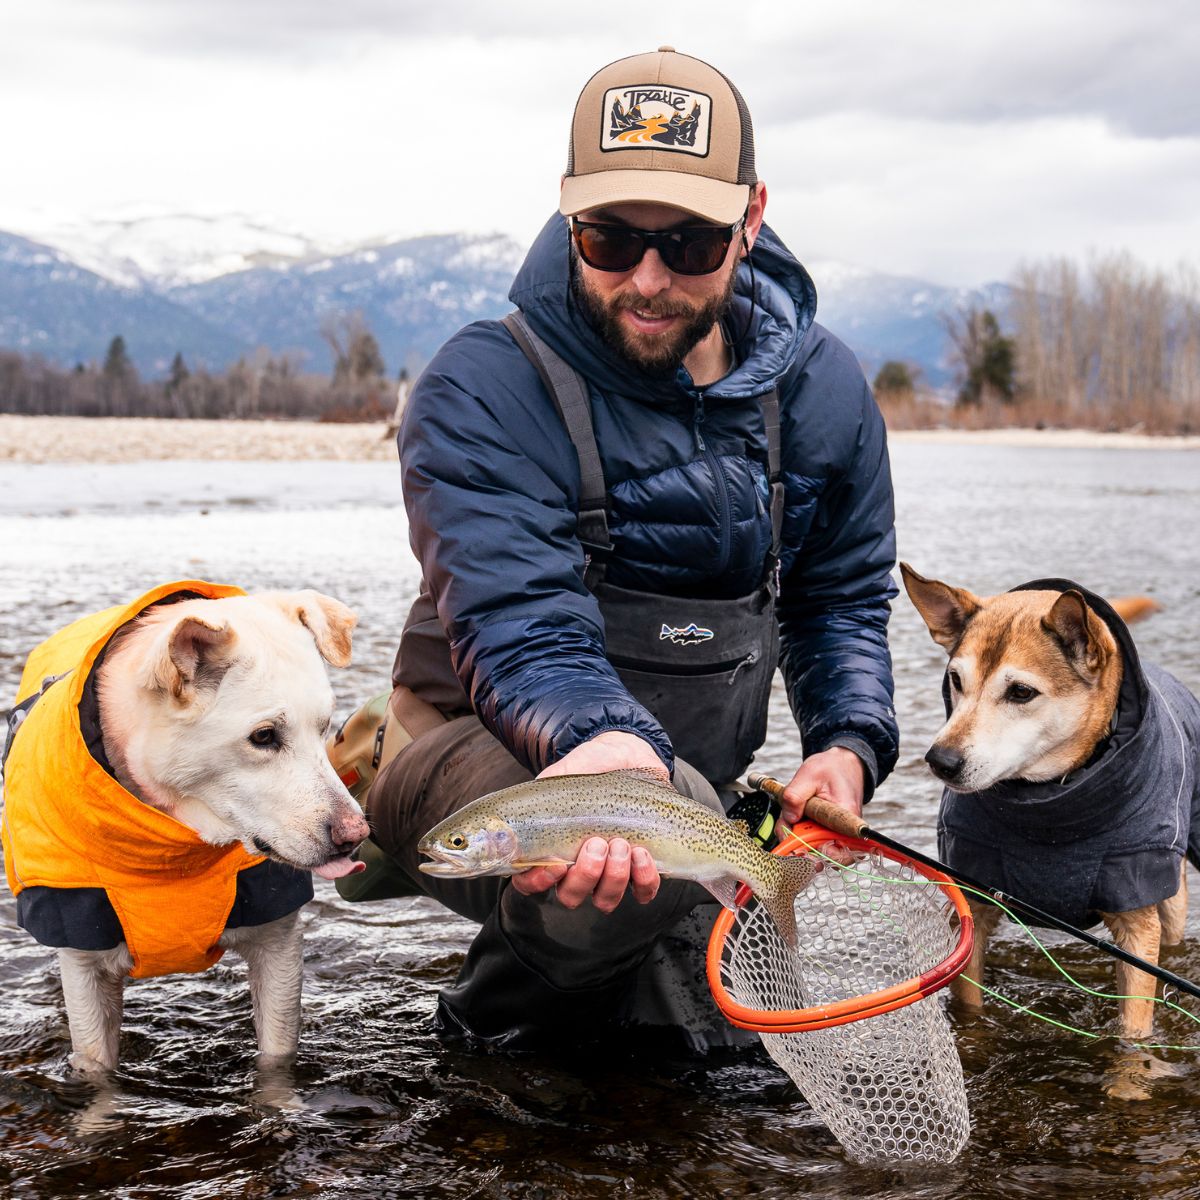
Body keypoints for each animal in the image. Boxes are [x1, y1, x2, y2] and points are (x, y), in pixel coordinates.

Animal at [1, 580, 369, 1070]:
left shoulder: (279, 943)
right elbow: (97, 1066)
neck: (173, 852)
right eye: (264, 736)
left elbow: (277, 1057)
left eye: (326, 725)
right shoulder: (83, 964)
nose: (355, 835)